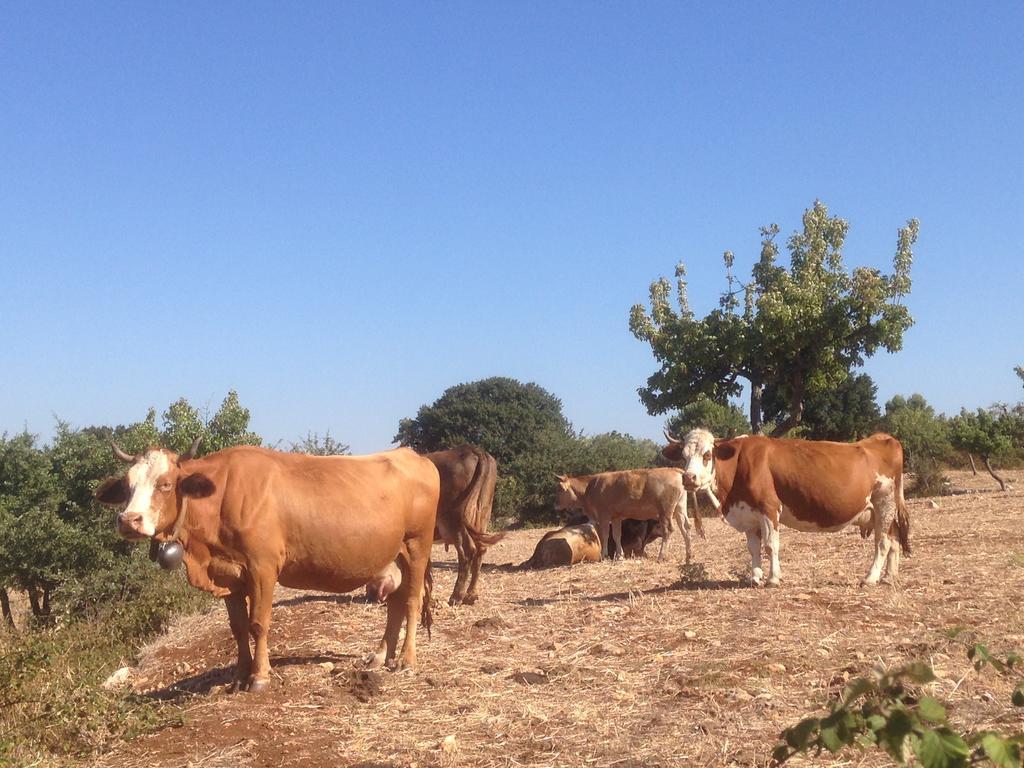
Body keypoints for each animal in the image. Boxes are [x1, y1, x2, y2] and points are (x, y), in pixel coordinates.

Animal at [96, 438, 444, 692]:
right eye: (127, 486)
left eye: (166, 484)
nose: (129, 520)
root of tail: (414, 456)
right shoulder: (229, 575)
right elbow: (237, 628)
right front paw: (239, 674)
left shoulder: (262, 568)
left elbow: (258, 624)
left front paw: (260, 676)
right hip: (394, 554)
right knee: (396, 603)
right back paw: (381, 656)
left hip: (417, 546)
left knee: (412, 602)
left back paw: (407, 660)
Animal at [423, 444, 503, 606]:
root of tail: (472, 449)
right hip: (482, 515)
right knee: (480, 551)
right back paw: (470, 595)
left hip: (454, 521)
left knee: (467, 552)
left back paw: (456, 596)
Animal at [557, 468, 700, 565]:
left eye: (560, 489)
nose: (555, 504)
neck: (591, 487)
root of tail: (675, 470)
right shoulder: (616, 517)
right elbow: (616, 535)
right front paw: (619, 556)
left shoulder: (604, 515)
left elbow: (605, 535)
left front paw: (604, 556)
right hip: (679, 508)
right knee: (686, 527)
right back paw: (689, 556)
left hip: (665, 511)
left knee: (668, 530)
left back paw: (661, 556)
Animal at [663, 428, 913, 589]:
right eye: (683, 456)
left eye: (707, 454)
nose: (688, 478)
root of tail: (883, 438)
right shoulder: (748, 515)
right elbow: (753, 549)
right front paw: (755, 577)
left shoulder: (769, 508)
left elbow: (770, 545)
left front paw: (773, 579)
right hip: (882, 512)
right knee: (893, 541)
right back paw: (888, 577)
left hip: (884, 503)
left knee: (882, 543)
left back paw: (870, 578)